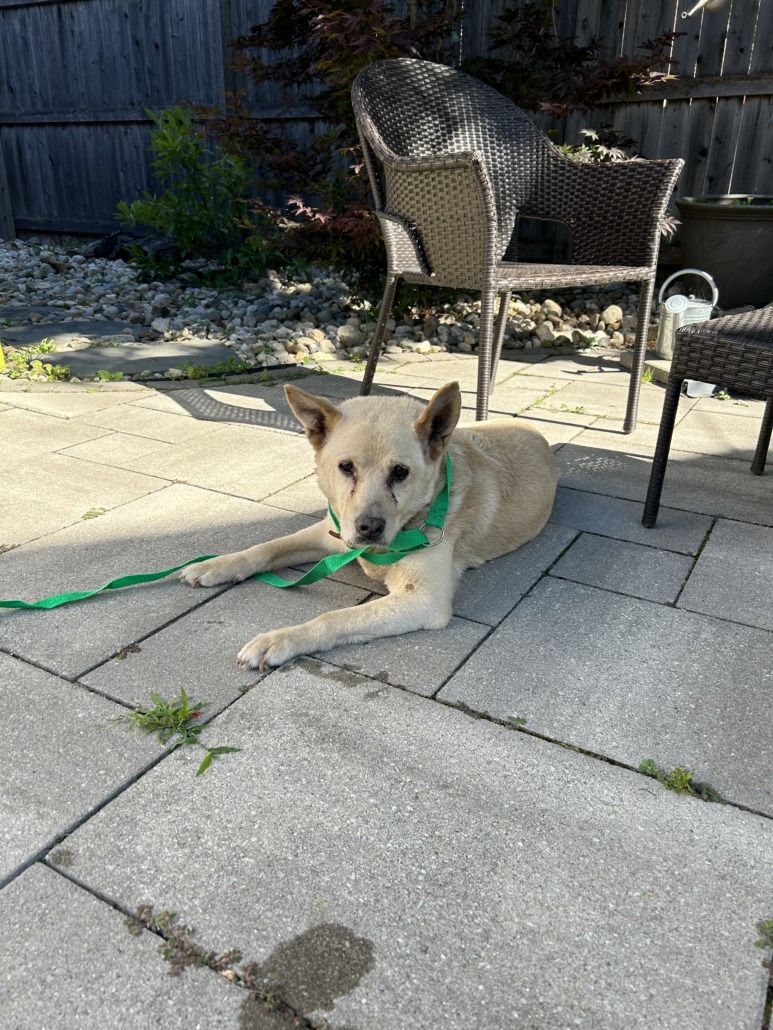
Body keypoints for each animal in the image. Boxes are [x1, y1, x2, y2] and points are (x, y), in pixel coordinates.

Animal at [179, 381, 558, 669]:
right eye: (346, 467)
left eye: (400, 472)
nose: (369, 528)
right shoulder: (330, 533)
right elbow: (264, 548)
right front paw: (216, 565)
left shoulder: (423, 599)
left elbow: (334, 618)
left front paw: (281, 639)